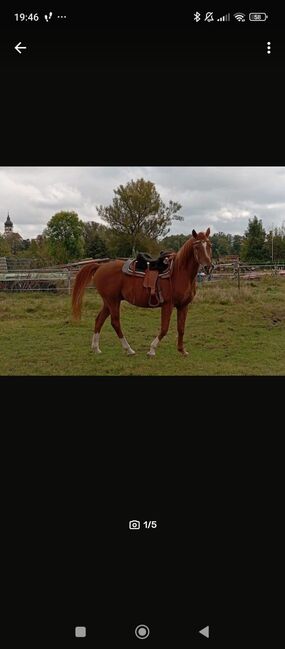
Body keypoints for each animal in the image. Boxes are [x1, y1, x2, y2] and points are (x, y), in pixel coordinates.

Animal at [72, 228, 212, 356]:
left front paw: (182, 350)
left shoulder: (183, 306)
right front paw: (152, 349)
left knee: (99, 320)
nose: (208, 267)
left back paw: (96, 348)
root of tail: (100, 266)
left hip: (108, 302)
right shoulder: (168, 305)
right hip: (113, 301)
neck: (179, 272)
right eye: (197, 246)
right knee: (115, 322)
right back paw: (128, 349)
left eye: (209, 245)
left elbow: (181, 328)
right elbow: (164, 328)